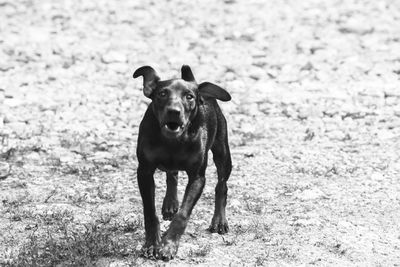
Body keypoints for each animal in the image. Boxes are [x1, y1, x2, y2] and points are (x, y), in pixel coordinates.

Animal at [132, 65, 231, 262]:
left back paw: (219, 221)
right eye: (162, 93)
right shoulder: (144, 171)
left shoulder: (198, 178)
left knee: (221, 185)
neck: (173, 142)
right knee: (172, 174)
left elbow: (183, 214)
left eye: (189, 96)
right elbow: (150, 211)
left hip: (222, 152)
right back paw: (170, 203)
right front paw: (152, 244)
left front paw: (168, 246)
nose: (174, 111)